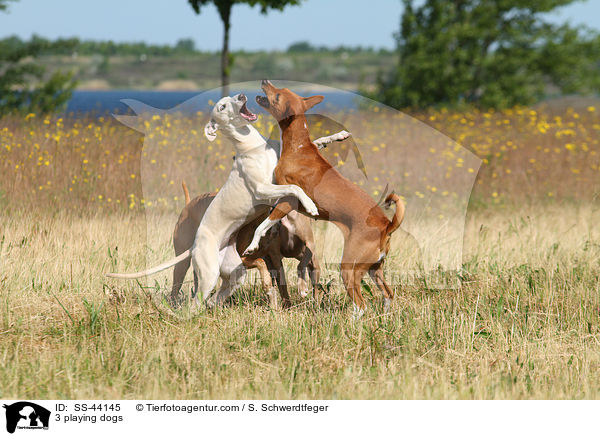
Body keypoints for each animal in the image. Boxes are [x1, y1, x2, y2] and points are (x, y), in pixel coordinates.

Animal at [246, 80, 406, 316]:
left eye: (277, 96)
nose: (265, 81)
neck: (299, 147)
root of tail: (386, 226)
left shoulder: (286, 202)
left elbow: (262, 225)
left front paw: (252, 245)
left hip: (349, 268)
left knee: (361, 305)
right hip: (374, 269)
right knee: (388, 294)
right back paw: (385, 317)